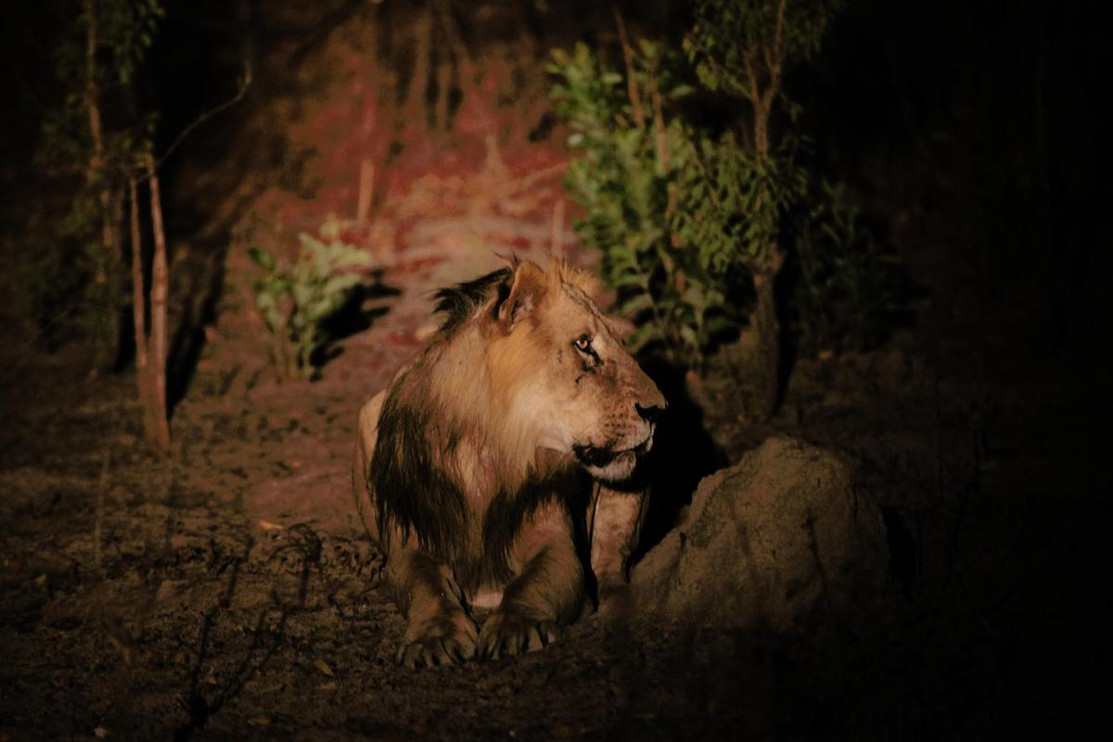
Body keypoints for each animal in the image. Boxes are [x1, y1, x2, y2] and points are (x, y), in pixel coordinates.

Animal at [352, 257, 665, 667]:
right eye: (583, 344)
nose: (658, 409)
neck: (489, 448)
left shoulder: (553, 539)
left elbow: (532, 584)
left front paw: (515, 627)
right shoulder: (414, 536)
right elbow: (426, 586)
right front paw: (433, 638)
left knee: (612, 561)